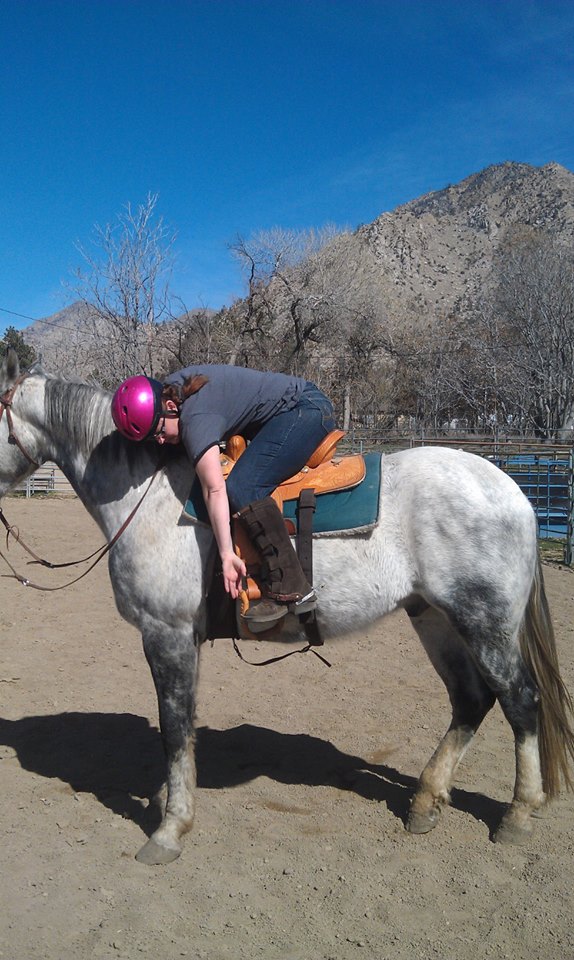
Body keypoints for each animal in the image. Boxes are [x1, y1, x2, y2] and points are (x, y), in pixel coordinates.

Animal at [1, 349, 573, 866]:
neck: (151, 494)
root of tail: (514, 492)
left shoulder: (167, 633)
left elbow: (174, 729)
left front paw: (169, 829)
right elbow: (181, 728)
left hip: (485, 623)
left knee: (521, 701)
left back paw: (518, 814)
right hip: (434, 618)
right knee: (471, 700)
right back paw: (425, 803)